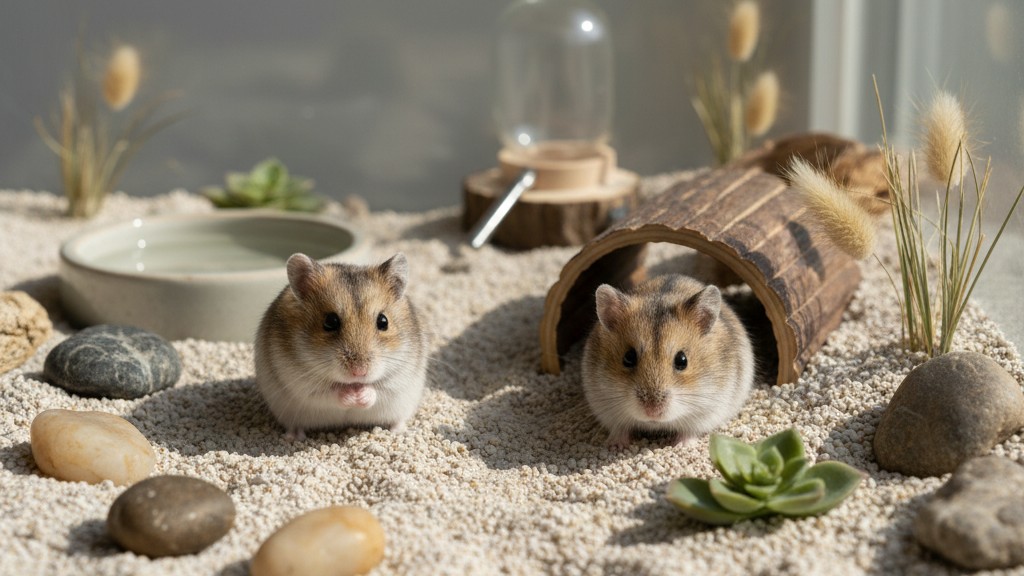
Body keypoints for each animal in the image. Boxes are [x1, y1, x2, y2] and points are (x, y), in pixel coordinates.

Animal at [254, 252, 428, 440]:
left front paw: (360, 396)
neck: (353, 383)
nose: (359, 372)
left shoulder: (399, 380)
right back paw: (293, 437)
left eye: (383, 321)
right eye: (330, 322)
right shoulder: (303, 384)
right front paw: (352, 396)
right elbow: (330, 392)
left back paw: (399, 431)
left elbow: (377, 390)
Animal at [581, 274, 754, 449]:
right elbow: (619, 428)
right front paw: (615, 445)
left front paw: (683, 445)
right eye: (628, 357)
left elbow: (690, 430)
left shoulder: (708, 411)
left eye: (682, 360)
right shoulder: (605, 409)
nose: (652, 411)